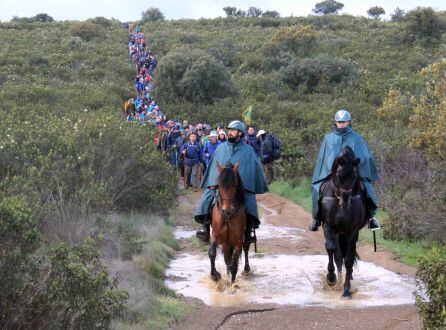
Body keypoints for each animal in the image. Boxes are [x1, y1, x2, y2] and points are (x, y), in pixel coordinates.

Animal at [318, 146, 368, 298]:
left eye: (354, 176)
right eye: (339, 175)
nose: (345, 201)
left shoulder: (352, 231)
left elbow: (349, 259)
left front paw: (346, 289)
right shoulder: (329, 226)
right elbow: (331, 249)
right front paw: (331, 278)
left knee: (346, 257)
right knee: (338, 256)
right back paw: (337, 278)